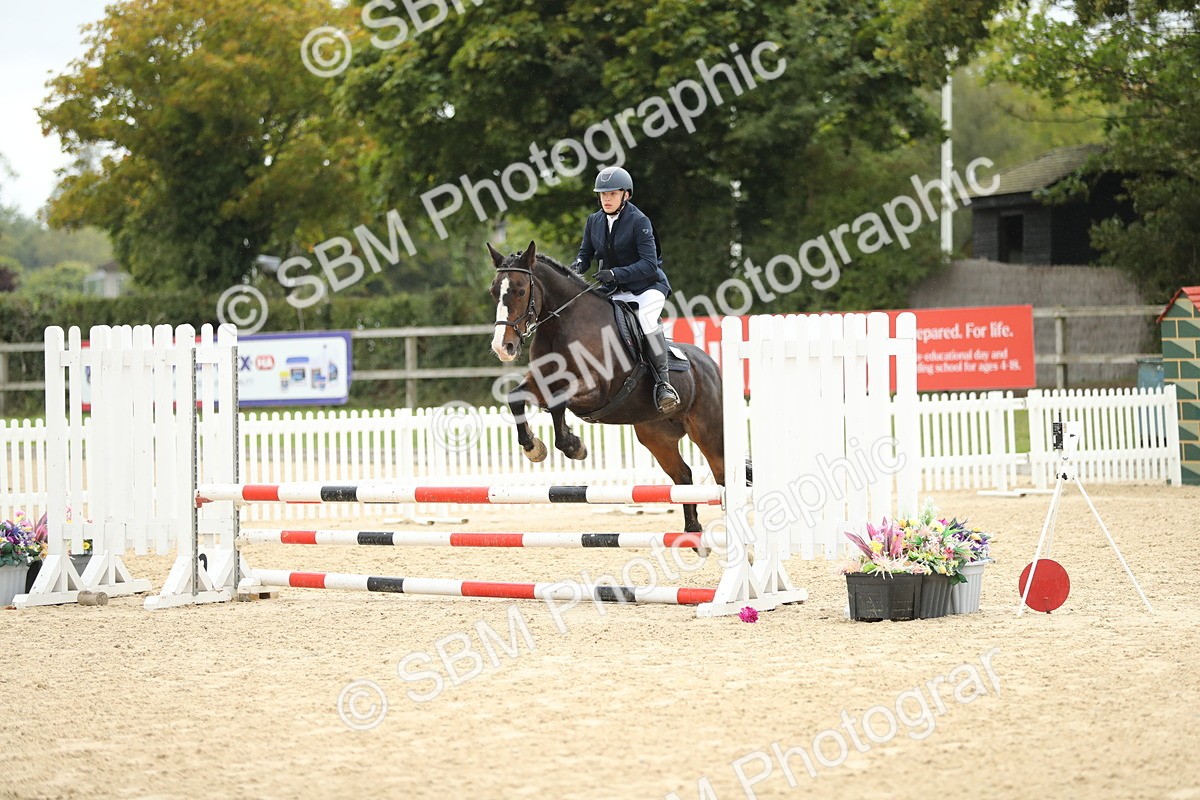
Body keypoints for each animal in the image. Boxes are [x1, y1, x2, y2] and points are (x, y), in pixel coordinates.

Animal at [487, 240, 727, 534]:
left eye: (521, 290)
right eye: (494, 291)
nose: (503, 347)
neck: (560, 325)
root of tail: (711, 364)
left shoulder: (596, 390)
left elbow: (558, 402)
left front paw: (572, 445)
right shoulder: (541, 383)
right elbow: (516, 398)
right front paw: (534, 448)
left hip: (708, 432)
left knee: (722, 473)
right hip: (657, 436)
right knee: (683, 475)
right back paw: (693, 533)